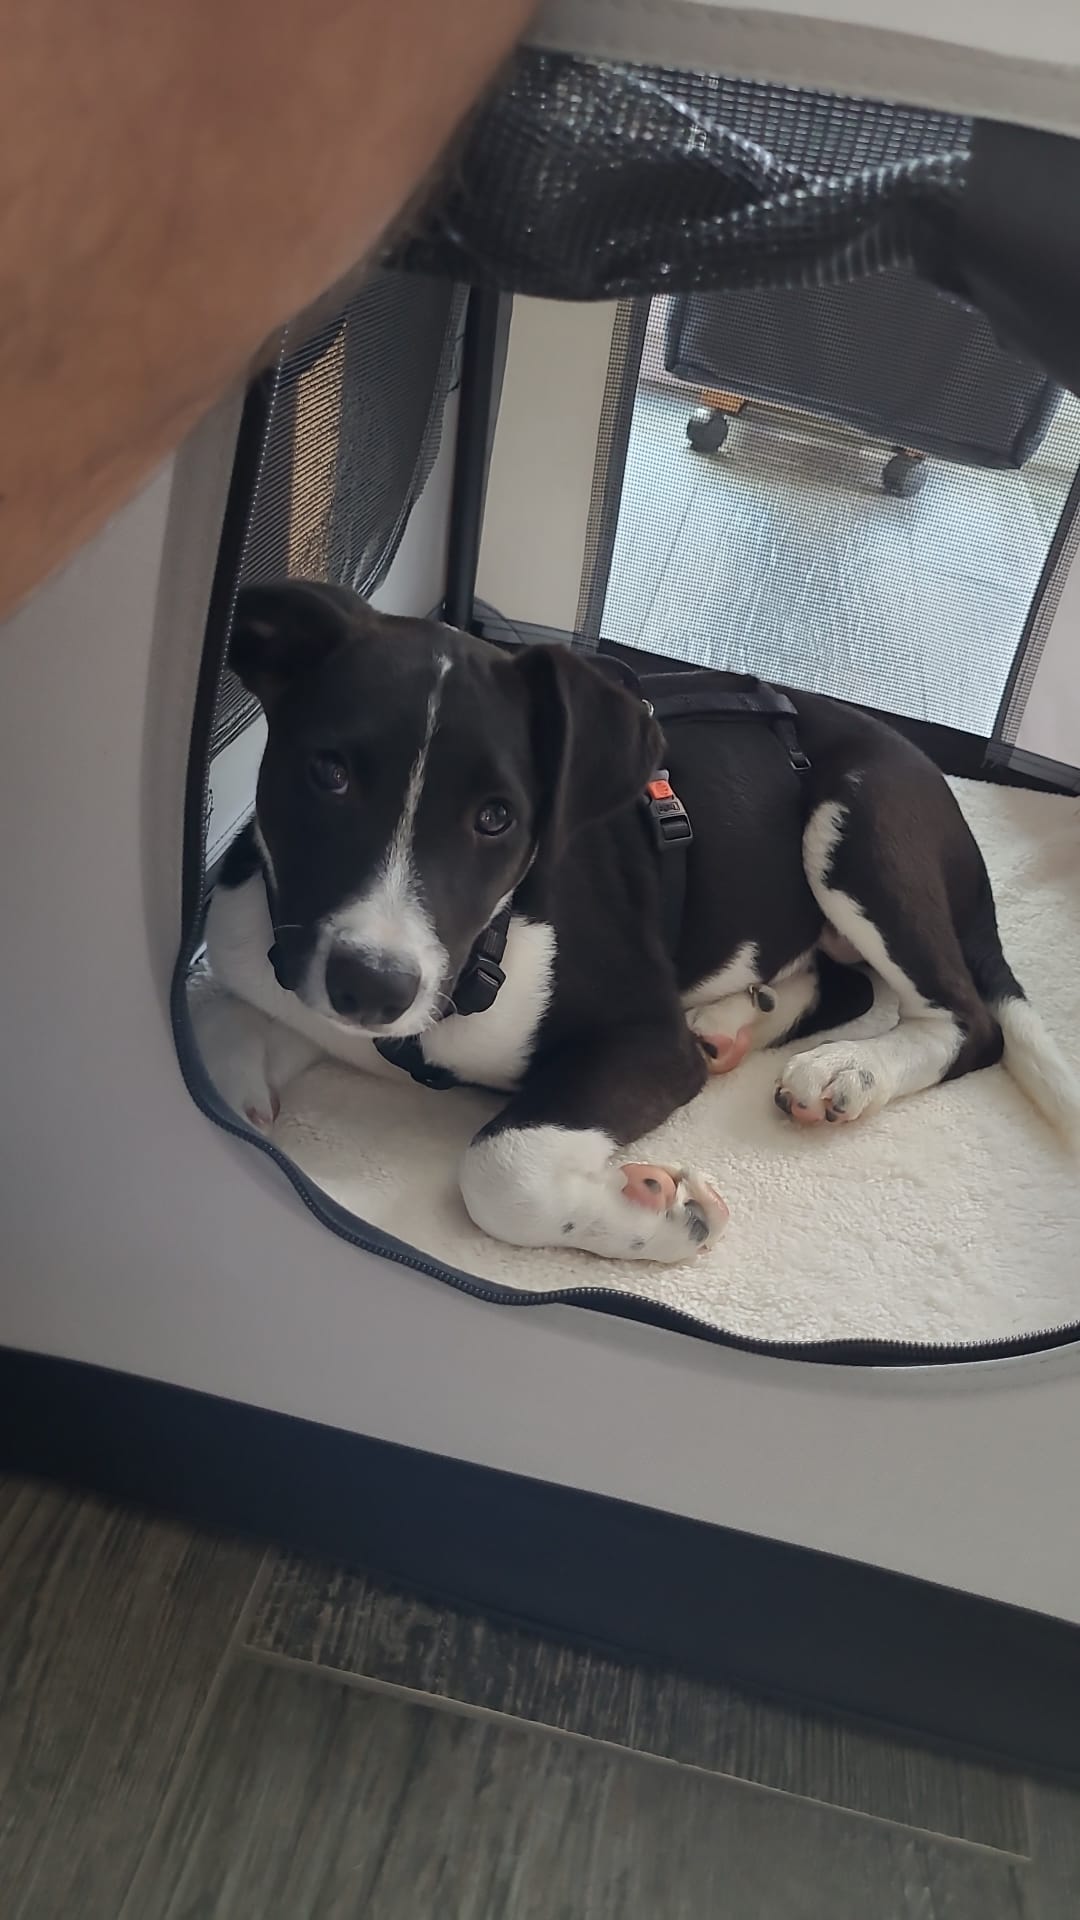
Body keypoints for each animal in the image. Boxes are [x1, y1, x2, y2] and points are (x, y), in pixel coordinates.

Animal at [191, 579, 1080, 1265]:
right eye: (328, 773)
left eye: (496, 818)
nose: (372, 987)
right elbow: (221, 1021)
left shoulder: (644, 1042)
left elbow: (499, 1170)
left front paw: (668, 1214)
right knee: (844, 987)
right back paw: (737, 1024)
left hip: (857, 825)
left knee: (966, 1020)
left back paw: (846, 1071)